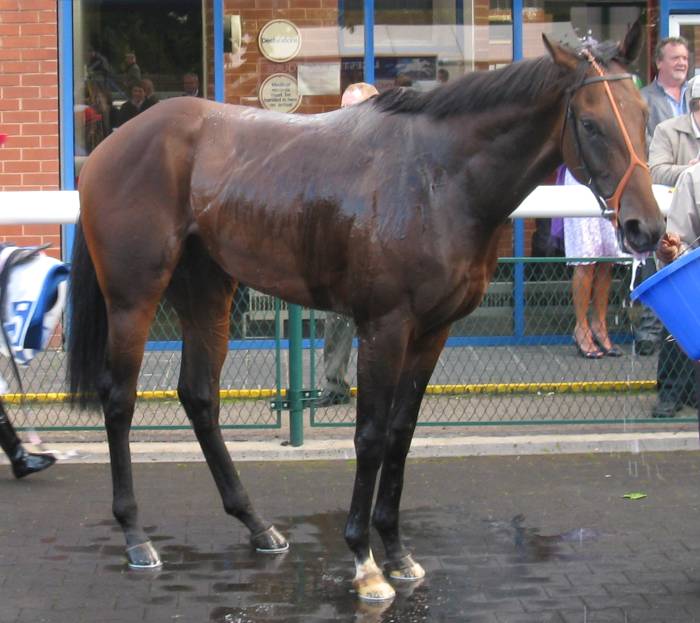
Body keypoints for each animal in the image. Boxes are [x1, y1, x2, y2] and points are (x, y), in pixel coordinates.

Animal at [68, 23, 664, 602]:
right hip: (133, 297)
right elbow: (371, 435)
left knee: (199, 396)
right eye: (590, 123)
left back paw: (258, 525)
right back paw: (136, 536)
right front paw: (365, 561)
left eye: (641, 114)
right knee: (119, 399)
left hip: (208, 292)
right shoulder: (384, 326)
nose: (646, 227)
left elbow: (401, 432)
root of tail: (111, 144)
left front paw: (397, 552)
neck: (438, 177)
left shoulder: (433, 331)